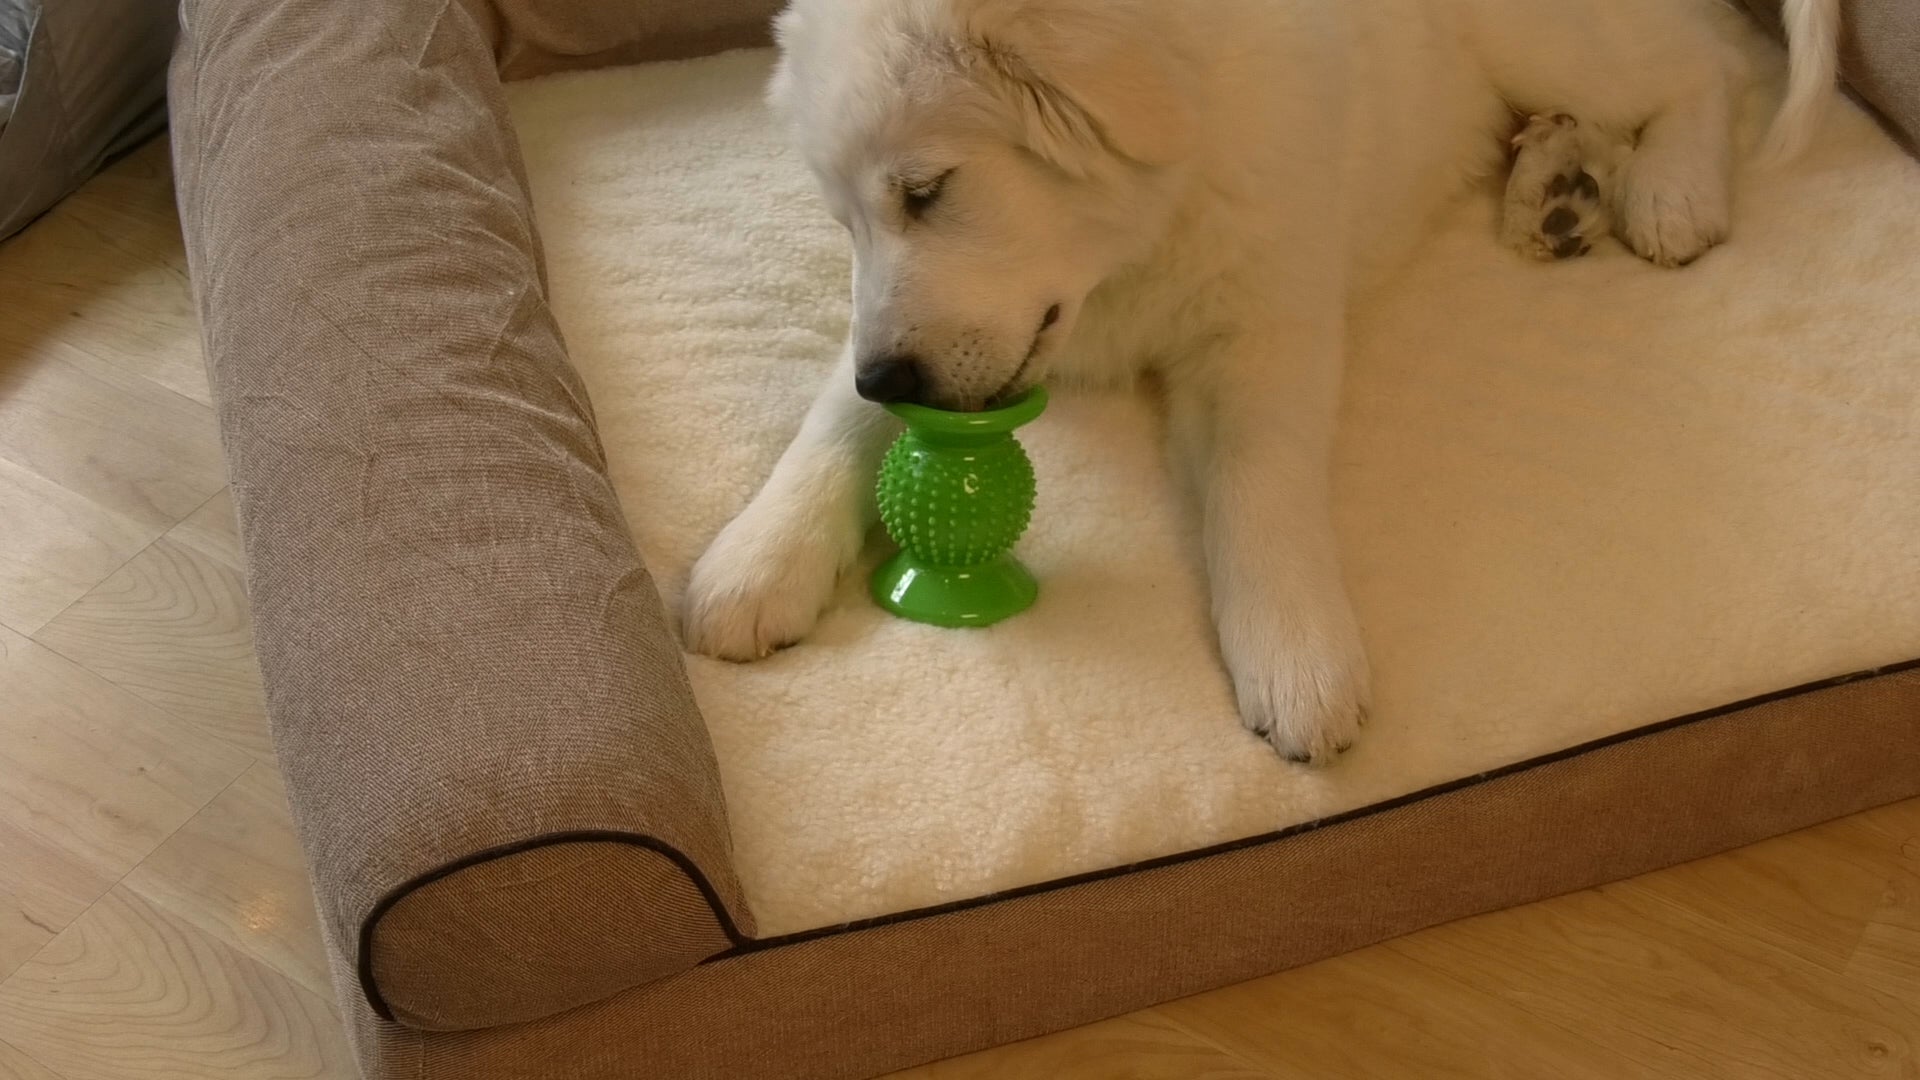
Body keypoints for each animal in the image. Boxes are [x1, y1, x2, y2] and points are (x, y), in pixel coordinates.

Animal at [683, 0, 1835, 760]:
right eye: (844, 218)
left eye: (927, 192)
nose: (892, 376)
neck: (1132, 248)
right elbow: (835, 422)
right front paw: (755, 560)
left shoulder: (1268, 322)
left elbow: (1257, 480)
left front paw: (1299, 660)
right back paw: (1557, 187)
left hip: (1551, 37)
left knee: (1708, 60)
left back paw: (1668, 189)